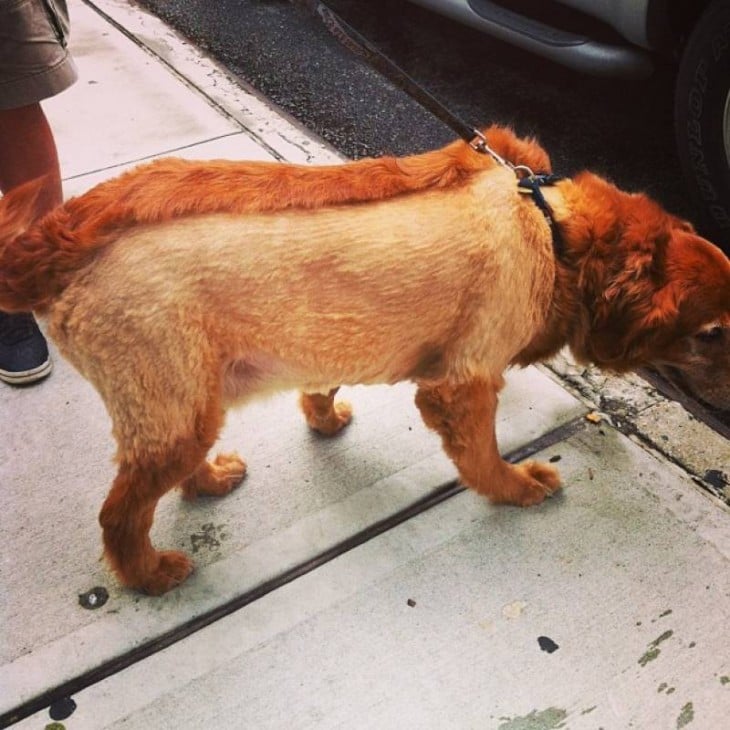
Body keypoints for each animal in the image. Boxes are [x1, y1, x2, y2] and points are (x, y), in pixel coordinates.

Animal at [0, 125, 724, 592]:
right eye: (713, 333)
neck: (553, 228)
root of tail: (56, 244)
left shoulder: (338, 334)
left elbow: (321, 383)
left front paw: (323, 419)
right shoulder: (461, 385)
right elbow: (485, 460)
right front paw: (517, 489)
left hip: (187, 403)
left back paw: (207, 482)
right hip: (171, 408)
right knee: (119, 514)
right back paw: (149, 575)